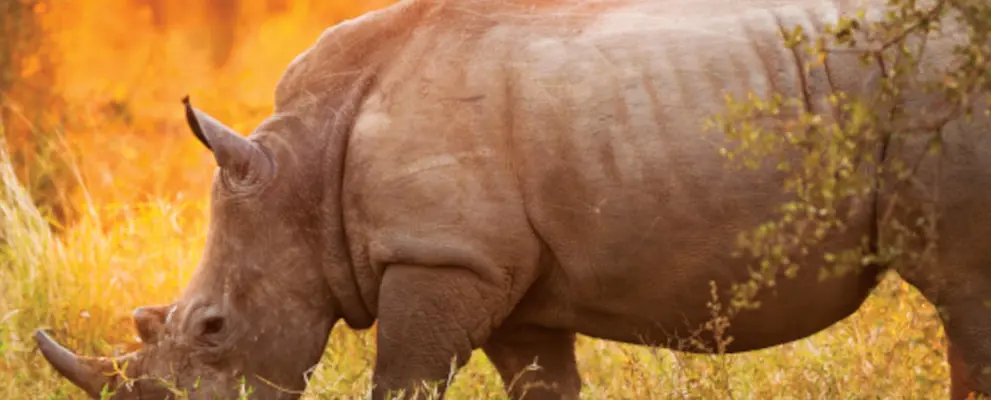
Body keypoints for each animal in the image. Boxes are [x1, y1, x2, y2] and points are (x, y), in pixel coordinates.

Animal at [34, 0, 991, 398]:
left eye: (212, 330)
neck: (302, 164)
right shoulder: (508, 280)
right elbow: (540, 385)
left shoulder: (438, 256)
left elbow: (403, 384)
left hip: (939, 90)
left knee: (963, 295)